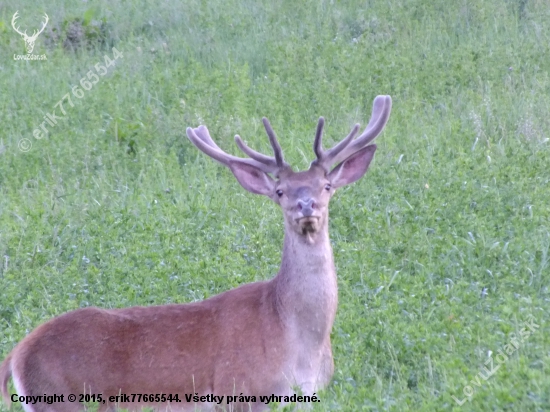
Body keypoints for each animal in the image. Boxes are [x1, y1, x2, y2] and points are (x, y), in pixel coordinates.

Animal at [2, 95, 394, 410]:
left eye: (326, 185)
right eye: (280, 191)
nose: (306, 205)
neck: (299, 341)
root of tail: (16, 355)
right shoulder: (239, 390)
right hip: (60, 399)